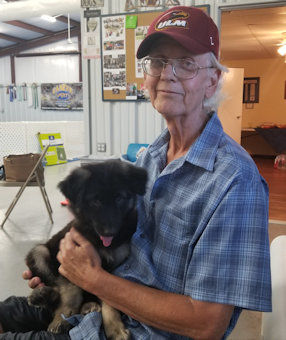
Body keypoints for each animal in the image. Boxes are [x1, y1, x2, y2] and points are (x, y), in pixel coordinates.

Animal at [25, 160, 147, 340]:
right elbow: (70, 293)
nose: (109, 232)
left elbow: (109, 300)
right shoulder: (68, 262)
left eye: (119, 198)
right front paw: (62, 318)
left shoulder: (112, 271)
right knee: (56, 289)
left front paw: (115, 329)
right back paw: (42, 295)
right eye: (95, 201)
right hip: (40, 252)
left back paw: (87, 306)